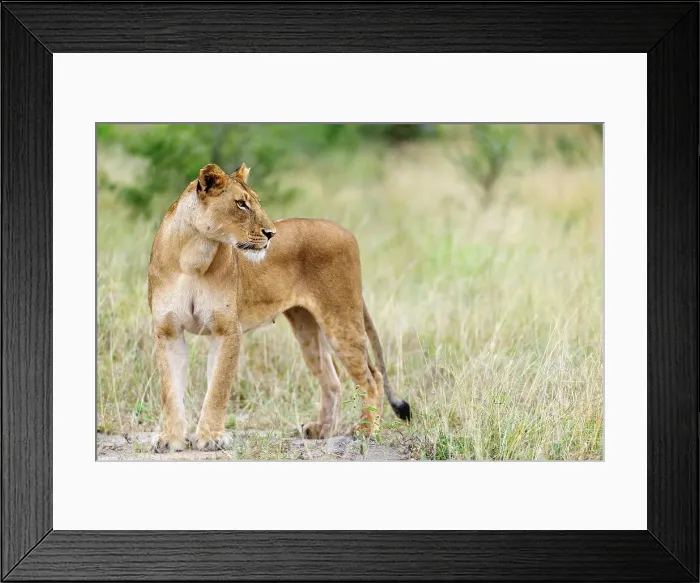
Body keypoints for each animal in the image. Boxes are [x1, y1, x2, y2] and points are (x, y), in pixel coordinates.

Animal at [148, 162, 410, 452]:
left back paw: (366, 431)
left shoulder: (226, 330)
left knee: (372, 377)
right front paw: (170, 439)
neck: (193, 255)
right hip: (308, 328)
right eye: (241, 204)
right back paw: (321, 430)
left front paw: (211, 437)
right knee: (332, 380)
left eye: (256, 202)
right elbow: (170, 390)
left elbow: (217, 388)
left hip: (340, 318)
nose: (271, 234)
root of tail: (346, 231)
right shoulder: (168, 331)